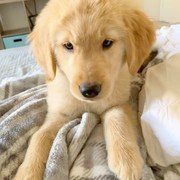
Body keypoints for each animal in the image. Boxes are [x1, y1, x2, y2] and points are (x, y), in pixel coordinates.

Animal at [14, 0, 155, 179]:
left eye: (107, 43)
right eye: (68, 45)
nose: (90, 91)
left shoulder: (118, 101)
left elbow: (118, 118)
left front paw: (127, 159)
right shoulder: (59, 113)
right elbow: (39, 136)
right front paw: (28, 172)